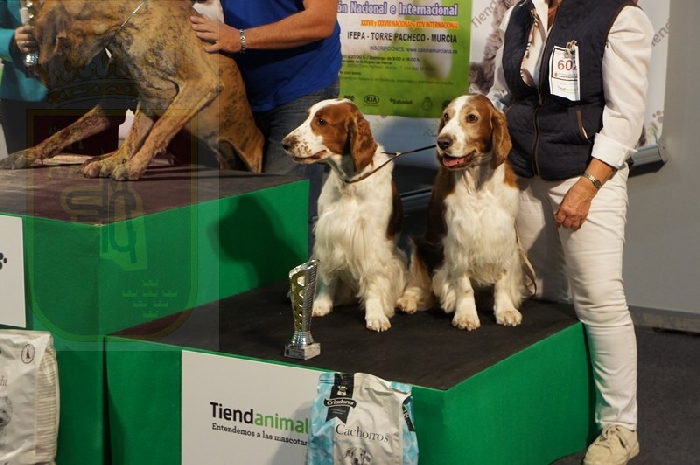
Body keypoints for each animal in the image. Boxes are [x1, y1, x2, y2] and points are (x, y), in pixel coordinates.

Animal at [0, 0, 263, 180]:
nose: (35, 70)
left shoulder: (200, 82)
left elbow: (158, 131)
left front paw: (132, 166)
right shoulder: (147, 98)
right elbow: (125, 137)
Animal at [282, 98, 407, 332]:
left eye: (322, 121)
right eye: (306, 116)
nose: (285, 143)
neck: (350, 182)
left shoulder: (370, 241)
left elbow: (373, 281)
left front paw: (376, 315)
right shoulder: (328, 234)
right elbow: (327, 276)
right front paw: (320, 305)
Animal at [397, 94, 535, 330]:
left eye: (472, 117)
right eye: (446, 116)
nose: (442, 142)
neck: (478, 182)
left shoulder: (505, 236)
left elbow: (503, 279)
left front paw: (506, 311)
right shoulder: (458, 241)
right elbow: (464, 285)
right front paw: (466, 315)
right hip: (420, 245)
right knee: (417, 284)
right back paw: (408, 301)